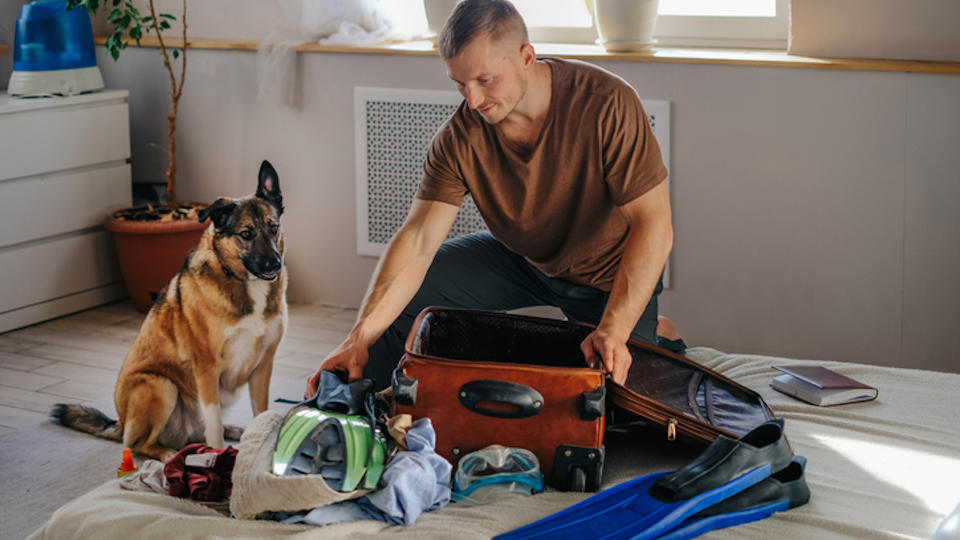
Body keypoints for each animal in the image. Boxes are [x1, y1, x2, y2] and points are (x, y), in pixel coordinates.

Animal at [52, 160, 286, 460]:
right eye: (246, 234)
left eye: (273, 227)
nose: (274, 264)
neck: (242, 281)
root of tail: (121, 422)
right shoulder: (206, 368)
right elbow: (213, 427)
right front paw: (218, 457)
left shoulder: (263, 366)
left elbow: (260, 414)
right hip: (160, 386)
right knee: (140, 444)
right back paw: (169, 455)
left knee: (198, 432)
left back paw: (234, 431)